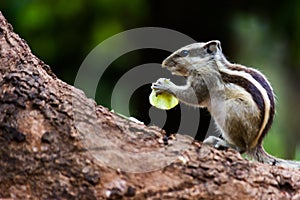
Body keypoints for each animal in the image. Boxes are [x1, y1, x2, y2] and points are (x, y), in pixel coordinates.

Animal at [152, 40, 300, 169]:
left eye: (184, 52)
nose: (164, 63)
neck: (209, 64)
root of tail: (256, 144)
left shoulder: (204, 81)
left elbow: (193, 97)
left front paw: (165, 85)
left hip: (231, 110)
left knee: (241, 148)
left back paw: (222, 143)